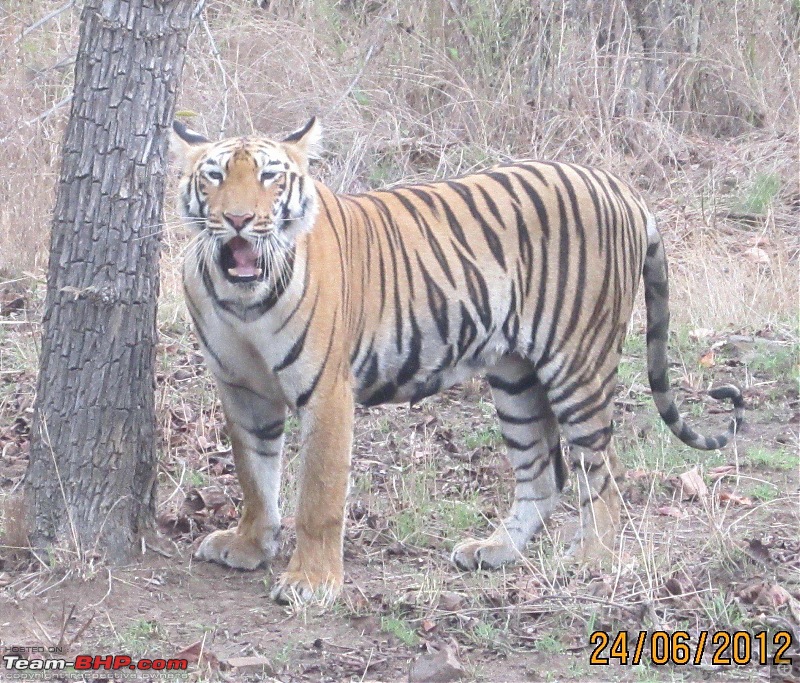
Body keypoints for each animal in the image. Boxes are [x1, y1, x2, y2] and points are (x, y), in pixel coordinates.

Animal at [170, 117, 744, 604]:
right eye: (215, 175)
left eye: (269, 176)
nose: (238, 219)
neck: (241, 299)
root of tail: (619, 186)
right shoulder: (241, 388)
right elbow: (254, 473)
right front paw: (249, 545)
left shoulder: (327, 391)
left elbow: (319, 491)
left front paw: (311, 581)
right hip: (515, 378)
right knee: (543, 476)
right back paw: (495, 551)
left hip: (577, 364)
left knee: (603, 471)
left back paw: (588, 560)